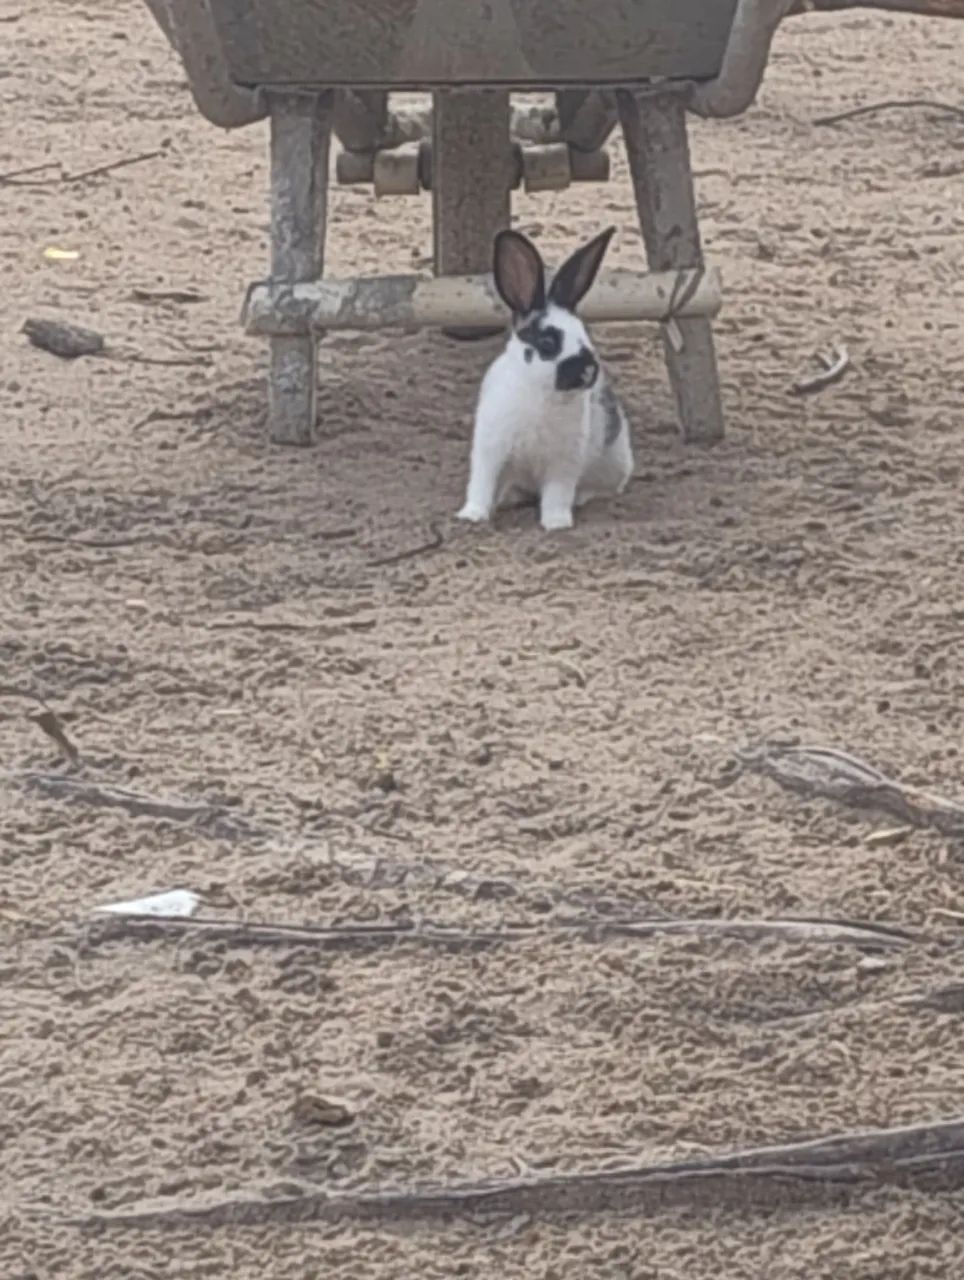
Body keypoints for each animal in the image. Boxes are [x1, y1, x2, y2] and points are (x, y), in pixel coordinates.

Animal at [456, 226, 634, 532]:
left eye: (585, 336)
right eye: (548, 343)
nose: (588, 371)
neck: (541, 393)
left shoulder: (564, 462)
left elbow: (557, 493)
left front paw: (556, 523)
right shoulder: (490, 450)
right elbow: (481, 485)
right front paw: (473, 515)